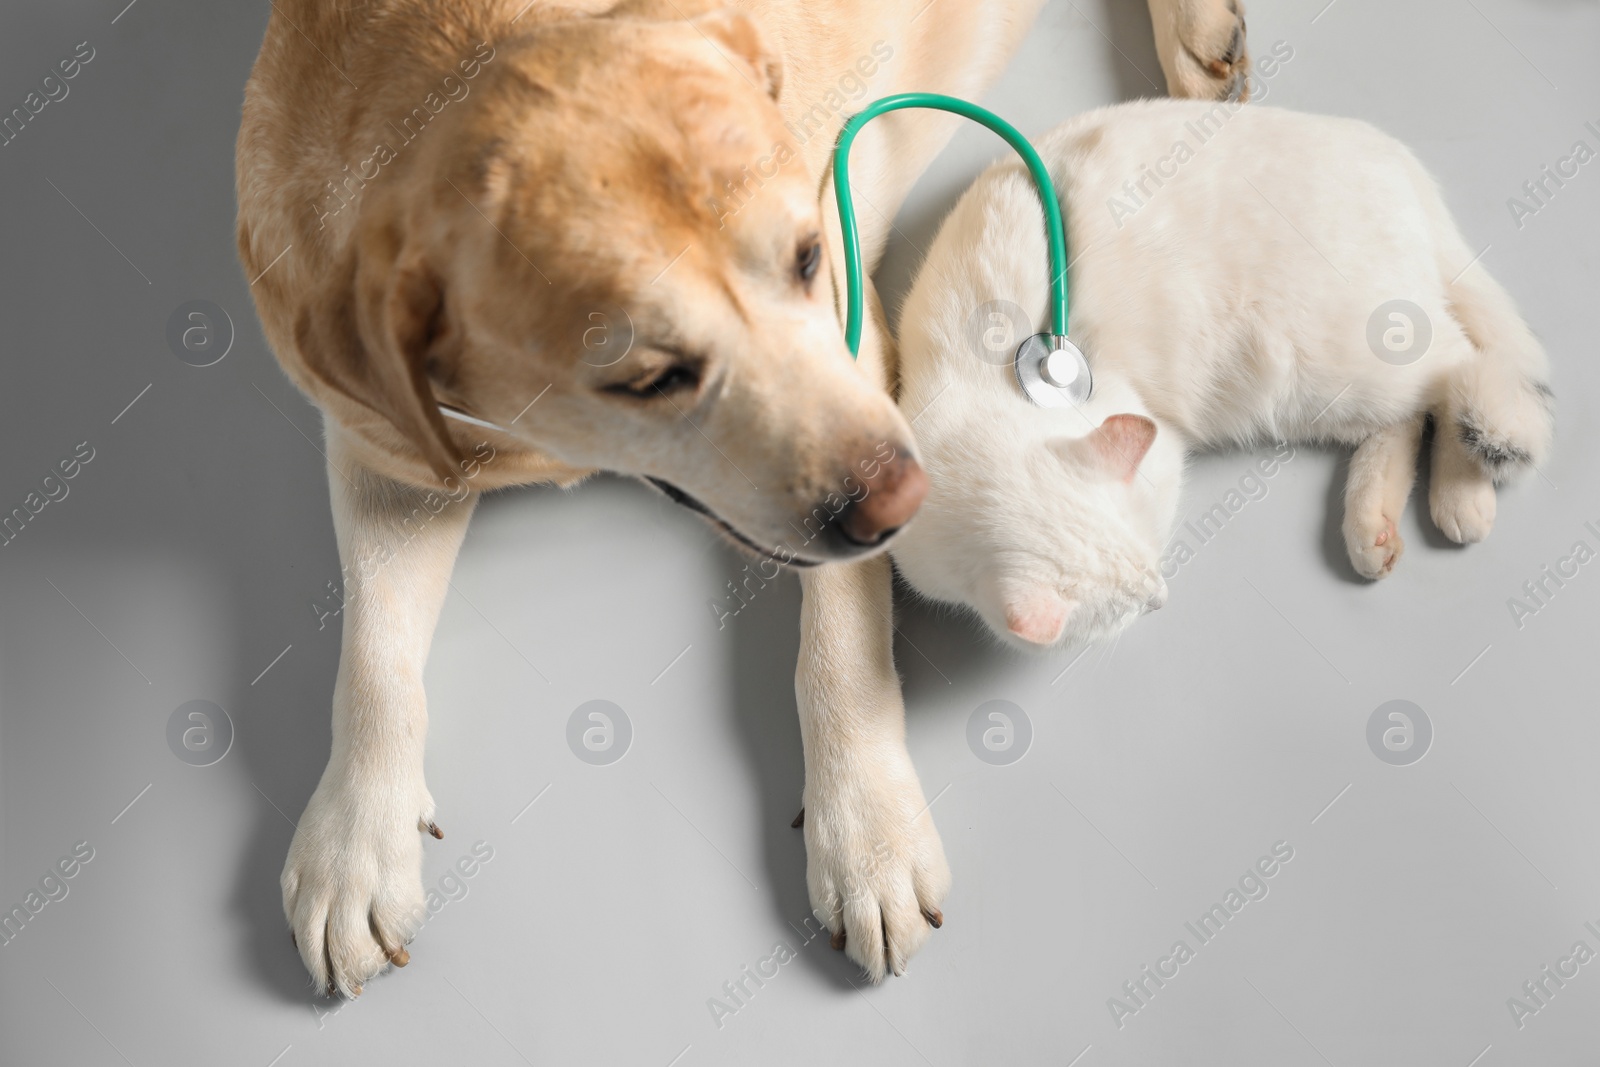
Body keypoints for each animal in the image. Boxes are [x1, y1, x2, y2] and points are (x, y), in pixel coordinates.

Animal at [236, 0, 1254, 991]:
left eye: (806, 259)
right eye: (650, 378)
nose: (904, 500)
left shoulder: (858, 352)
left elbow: (838, 639)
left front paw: (867, 828)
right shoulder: (381, 449)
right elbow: (372, 656)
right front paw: (352, 844)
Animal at [889, 99, 1548, 646]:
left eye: (1150, 559)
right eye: (1127, 607)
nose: (1159, 597)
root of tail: (1392, 157)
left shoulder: (1158, 442)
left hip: (1339, 358)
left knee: (1465, 368)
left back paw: (1464, 497)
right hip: (1320, 396)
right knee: (1408, 417)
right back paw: (1373, 530)